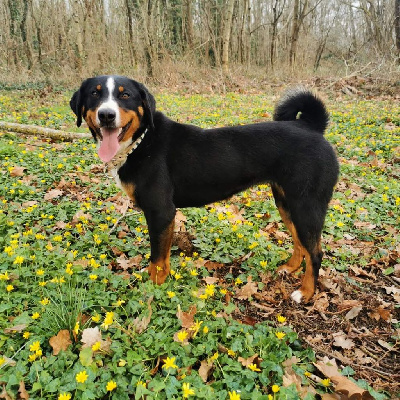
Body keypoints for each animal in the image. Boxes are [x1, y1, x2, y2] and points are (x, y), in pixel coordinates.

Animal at [70, 76, 340, 304]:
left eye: (125, 95)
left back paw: (305, 292)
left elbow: (158, 259)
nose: (106, 115)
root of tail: (310, 127)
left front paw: (154, 287)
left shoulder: (160, 211)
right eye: (95, 94)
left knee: (316, 253)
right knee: (300, 243)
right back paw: (290, 268)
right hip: (286, 202)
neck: (142, 141)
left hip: (306, 205)